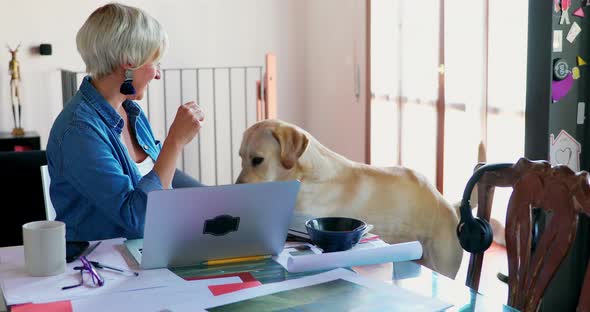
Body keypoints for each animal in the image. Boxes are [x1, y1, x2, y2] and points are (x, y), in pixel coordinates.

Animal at [238, 119, 464, 278]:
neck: (305, 177)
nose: (237, 189)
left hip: (441, 264)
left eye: (257, 160)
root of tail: (450, 206)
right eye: (240, 157)